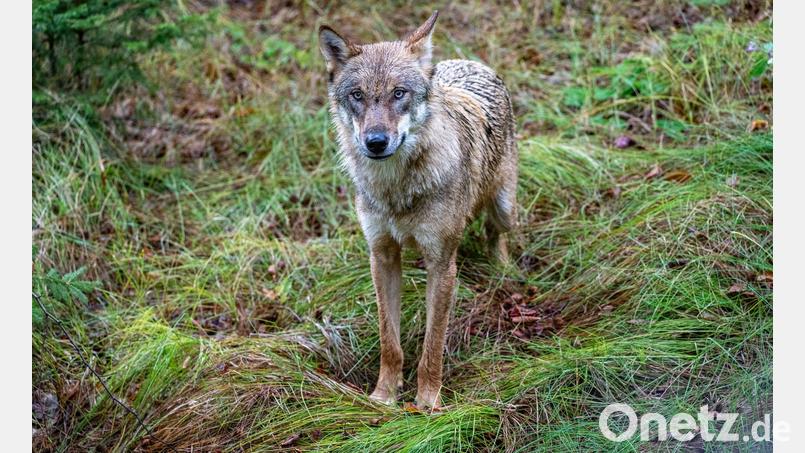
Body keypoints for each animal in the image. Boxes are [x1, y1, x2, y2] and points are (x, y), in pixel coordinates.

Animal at [318, 10, 518, 410]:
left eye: (399, 93)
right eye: (357, 96)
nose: (376, 142)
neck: (396, 189)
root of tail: (470, 62)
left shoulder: (441, 264)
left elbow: (433, 345)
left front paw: (427, 404)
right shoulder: (381, 255)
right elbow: (389, 341)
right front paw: (384, 396)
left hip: (503, 206)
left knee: (496, 232)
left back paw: (502, 270)